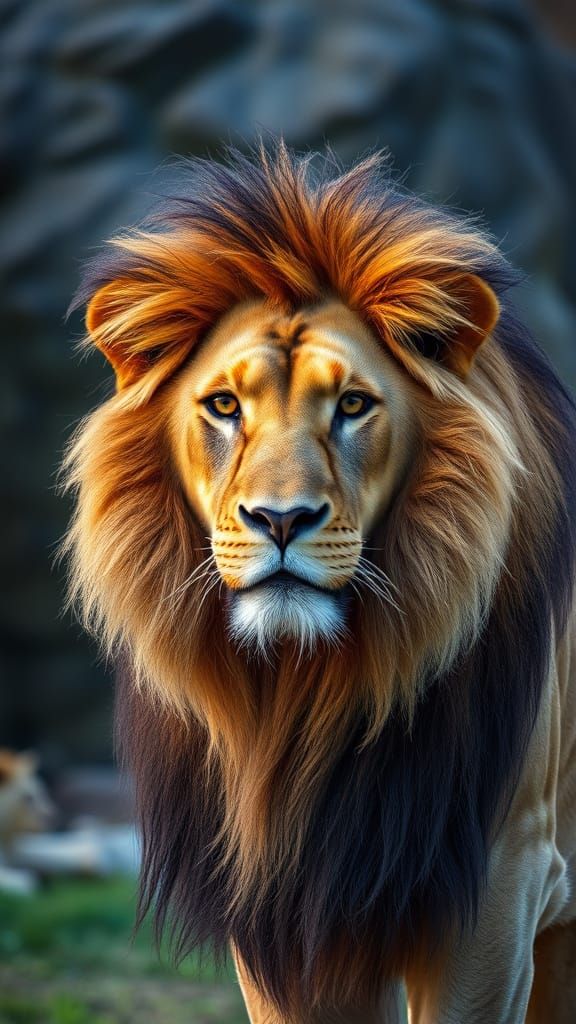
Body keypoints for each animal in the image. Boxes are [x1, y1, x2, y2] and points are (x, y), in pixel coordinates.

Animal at [62, 142, 576, 1023]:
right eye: (224, 405)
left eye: (354, 405)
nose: (281, 519)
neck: (306, 698)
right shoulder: (283, 906)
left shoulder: (504, 882)